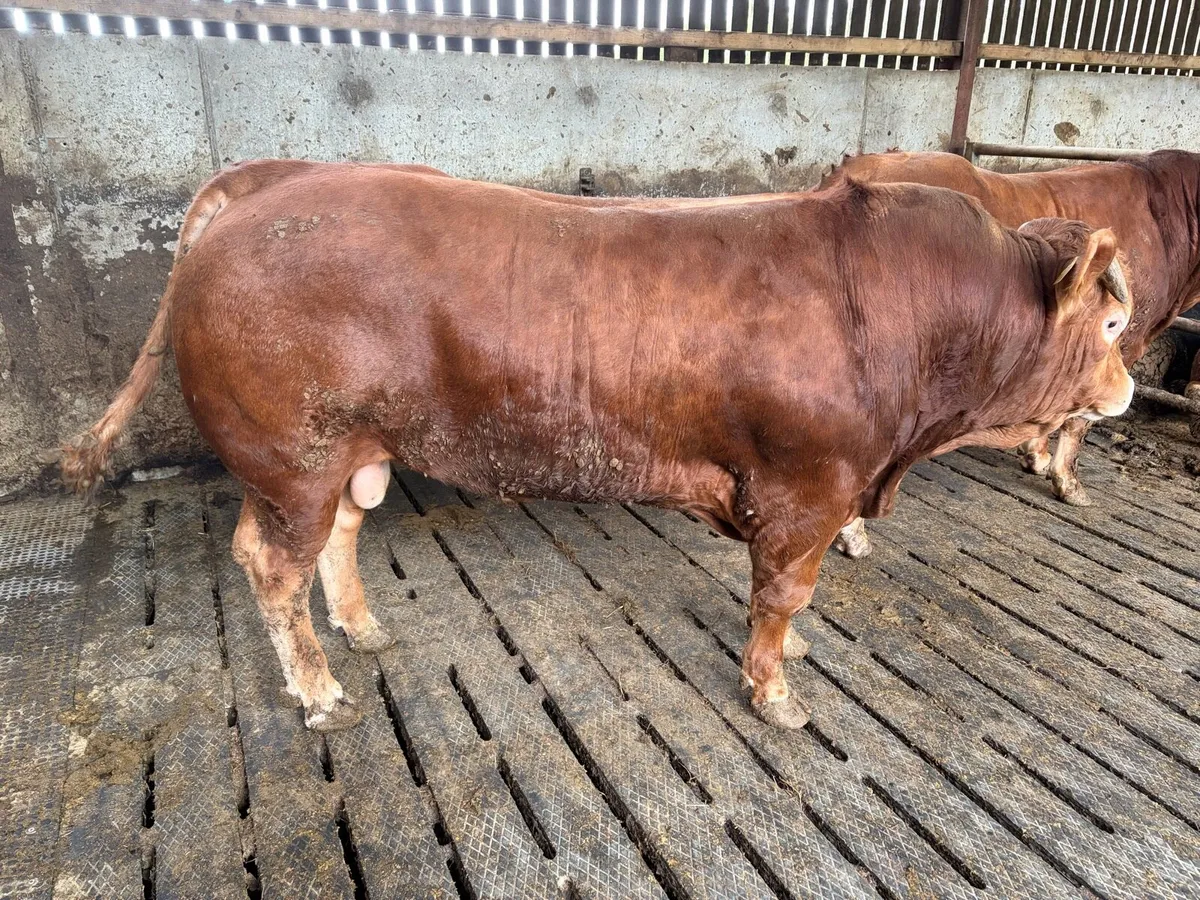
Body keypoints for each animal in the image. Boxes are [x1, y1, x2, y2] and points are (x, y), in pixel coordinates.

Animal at [62, 160, 1134, 732]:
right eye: (1114, 325)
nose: (1128, 387)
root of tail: (278, 177)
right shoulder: (807, 488)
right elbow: (784, 597)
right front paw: (776, 694)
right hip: (291, 457)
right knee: (270, 564)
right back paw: (322, 692)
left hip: (349, 451)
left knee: (337, 540)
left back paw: (362, 632)